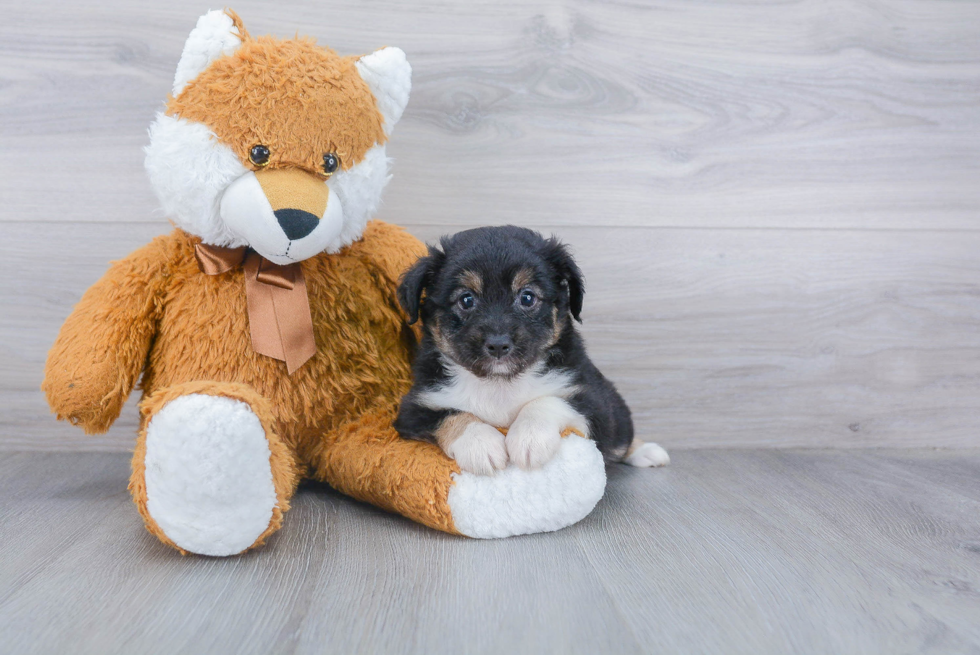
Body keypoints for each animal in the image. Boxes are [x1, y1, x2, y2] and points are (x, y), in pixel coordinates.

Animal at [394, 227, 668, 476]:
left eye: (527, 297)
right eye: (466, 299)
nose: (498, 344)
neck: (500, 383)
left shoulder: (592, 399)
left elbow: (547, 401)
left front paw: (529, 439)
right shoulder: (414, 408)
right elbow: (452, 414)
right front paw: (480, 444)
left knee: (623, 438)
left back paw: (647, 451)